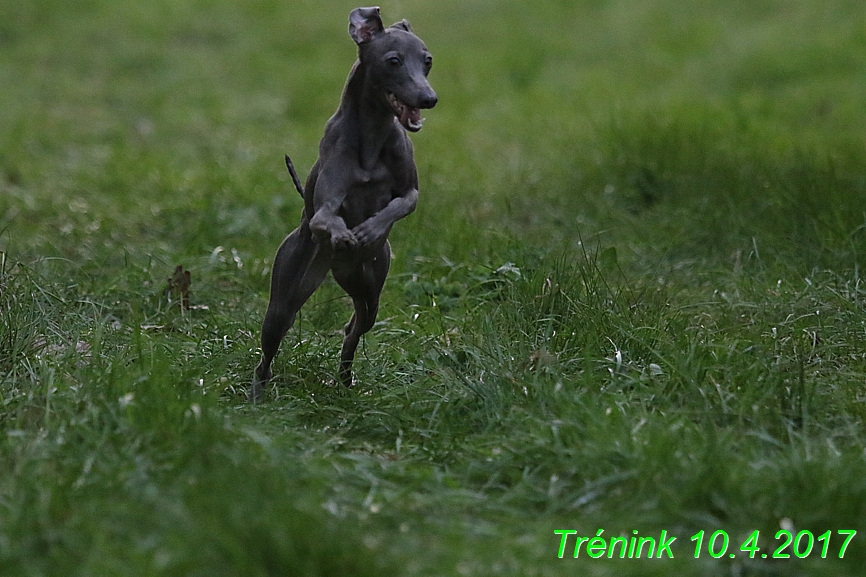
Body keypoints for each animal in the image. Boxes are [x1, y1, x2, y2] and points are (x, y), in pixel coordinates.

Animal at [250, 6, 438, 400]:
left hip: (370, 288)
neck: (373, 134)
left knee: (355, 327)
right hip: (286, 297)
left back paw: (346, 379)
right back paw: (258, 391)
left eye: (427, 60)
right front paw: (346, 234)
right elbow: (327, 218)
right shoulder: (324, 207)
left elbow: (400, 203)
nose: (429, 99)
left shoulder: (410, 192)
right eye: (393, 61)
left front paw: (368, 231)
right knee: (269, 348)